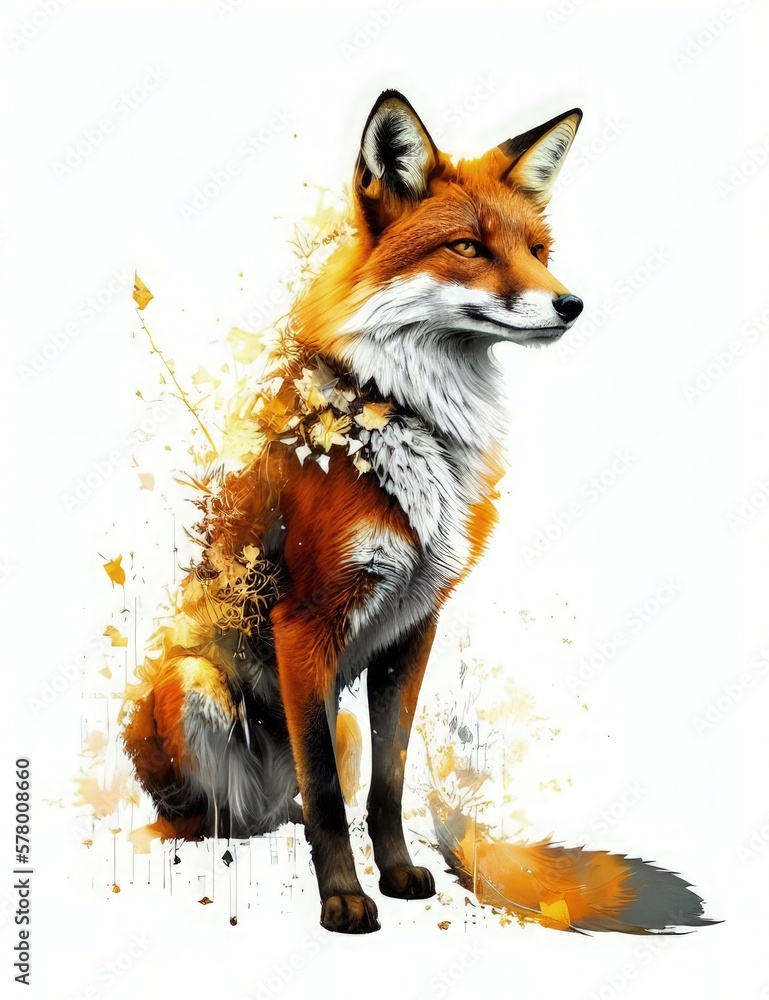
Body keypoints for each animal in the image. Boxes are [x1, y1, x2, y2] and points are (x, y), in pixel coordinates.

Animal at [122, 89, 587, 934]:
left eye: (539, 249)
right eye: (468, 247)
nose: (571, 303)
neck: (415, 422)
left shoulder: (414, 626)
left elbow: (385, 785)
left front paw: (395, 872)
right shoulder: (305, 624)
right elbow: (333, 799)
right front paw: (342, 897)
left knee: (292, 804)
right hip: (197, 685)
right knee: (222, 816)